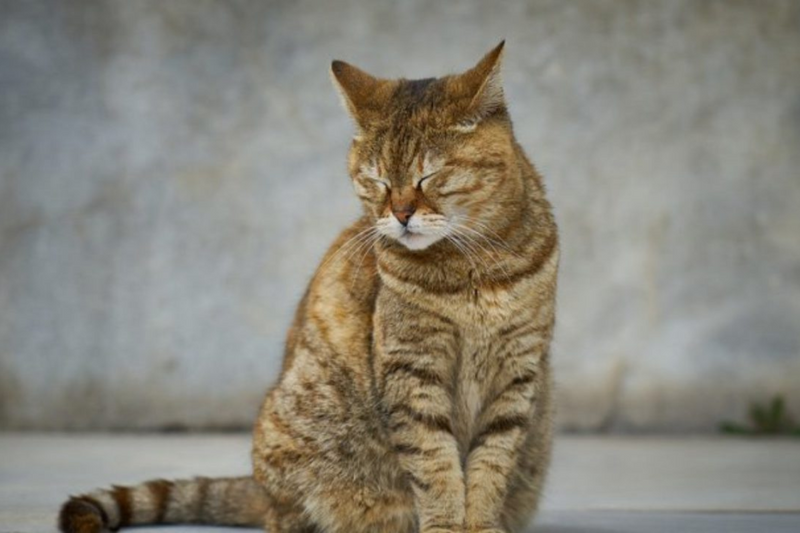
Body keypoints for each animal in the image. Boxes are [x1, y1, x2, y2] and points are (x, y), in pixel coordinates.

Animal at [61, 41, 556, 532]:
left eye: (428, 177)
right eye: (376, 180)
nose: (400, 214)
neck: (477, 268)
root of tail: (259, 491)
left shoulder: (518, 373)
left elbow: (492, 464)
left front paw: (482, 523)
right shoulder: (412, 370)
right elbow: (434, 464)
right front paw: (448, 524)